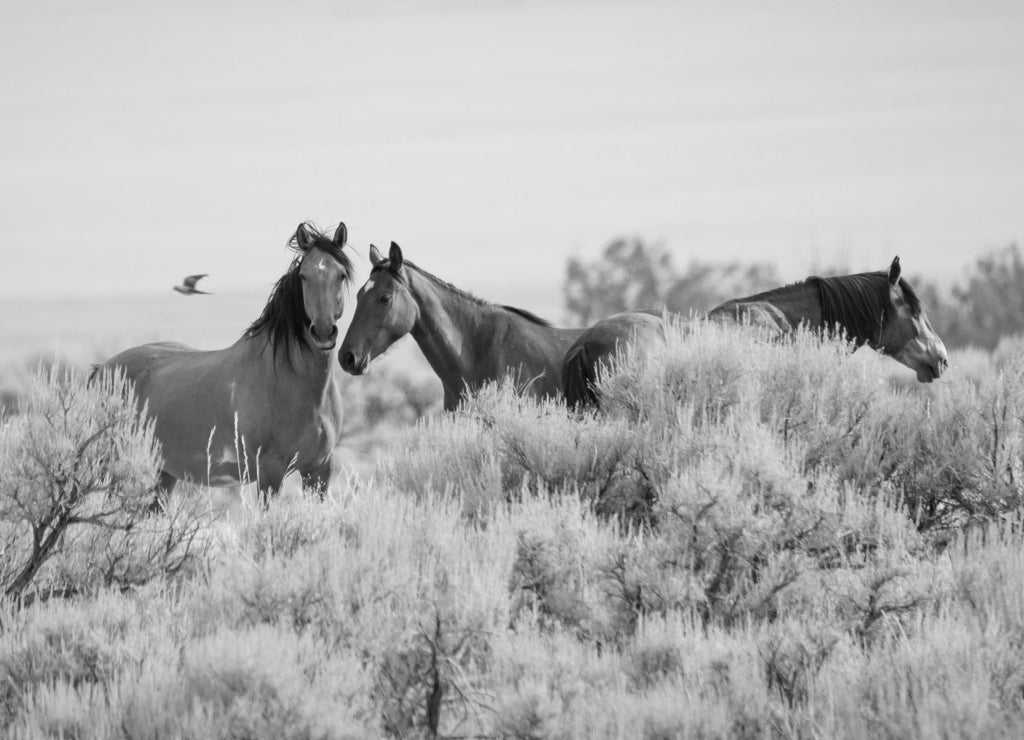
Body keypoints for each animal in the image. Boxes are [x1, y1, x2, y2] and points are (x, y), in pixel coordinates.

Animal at [99, 222, 353, 498]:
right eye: (304, 276)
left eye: (340, 275)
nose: (323, 332)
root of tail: (102, 368)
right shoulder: (270, 472)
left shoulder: (318, 471)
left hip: (163, 473)